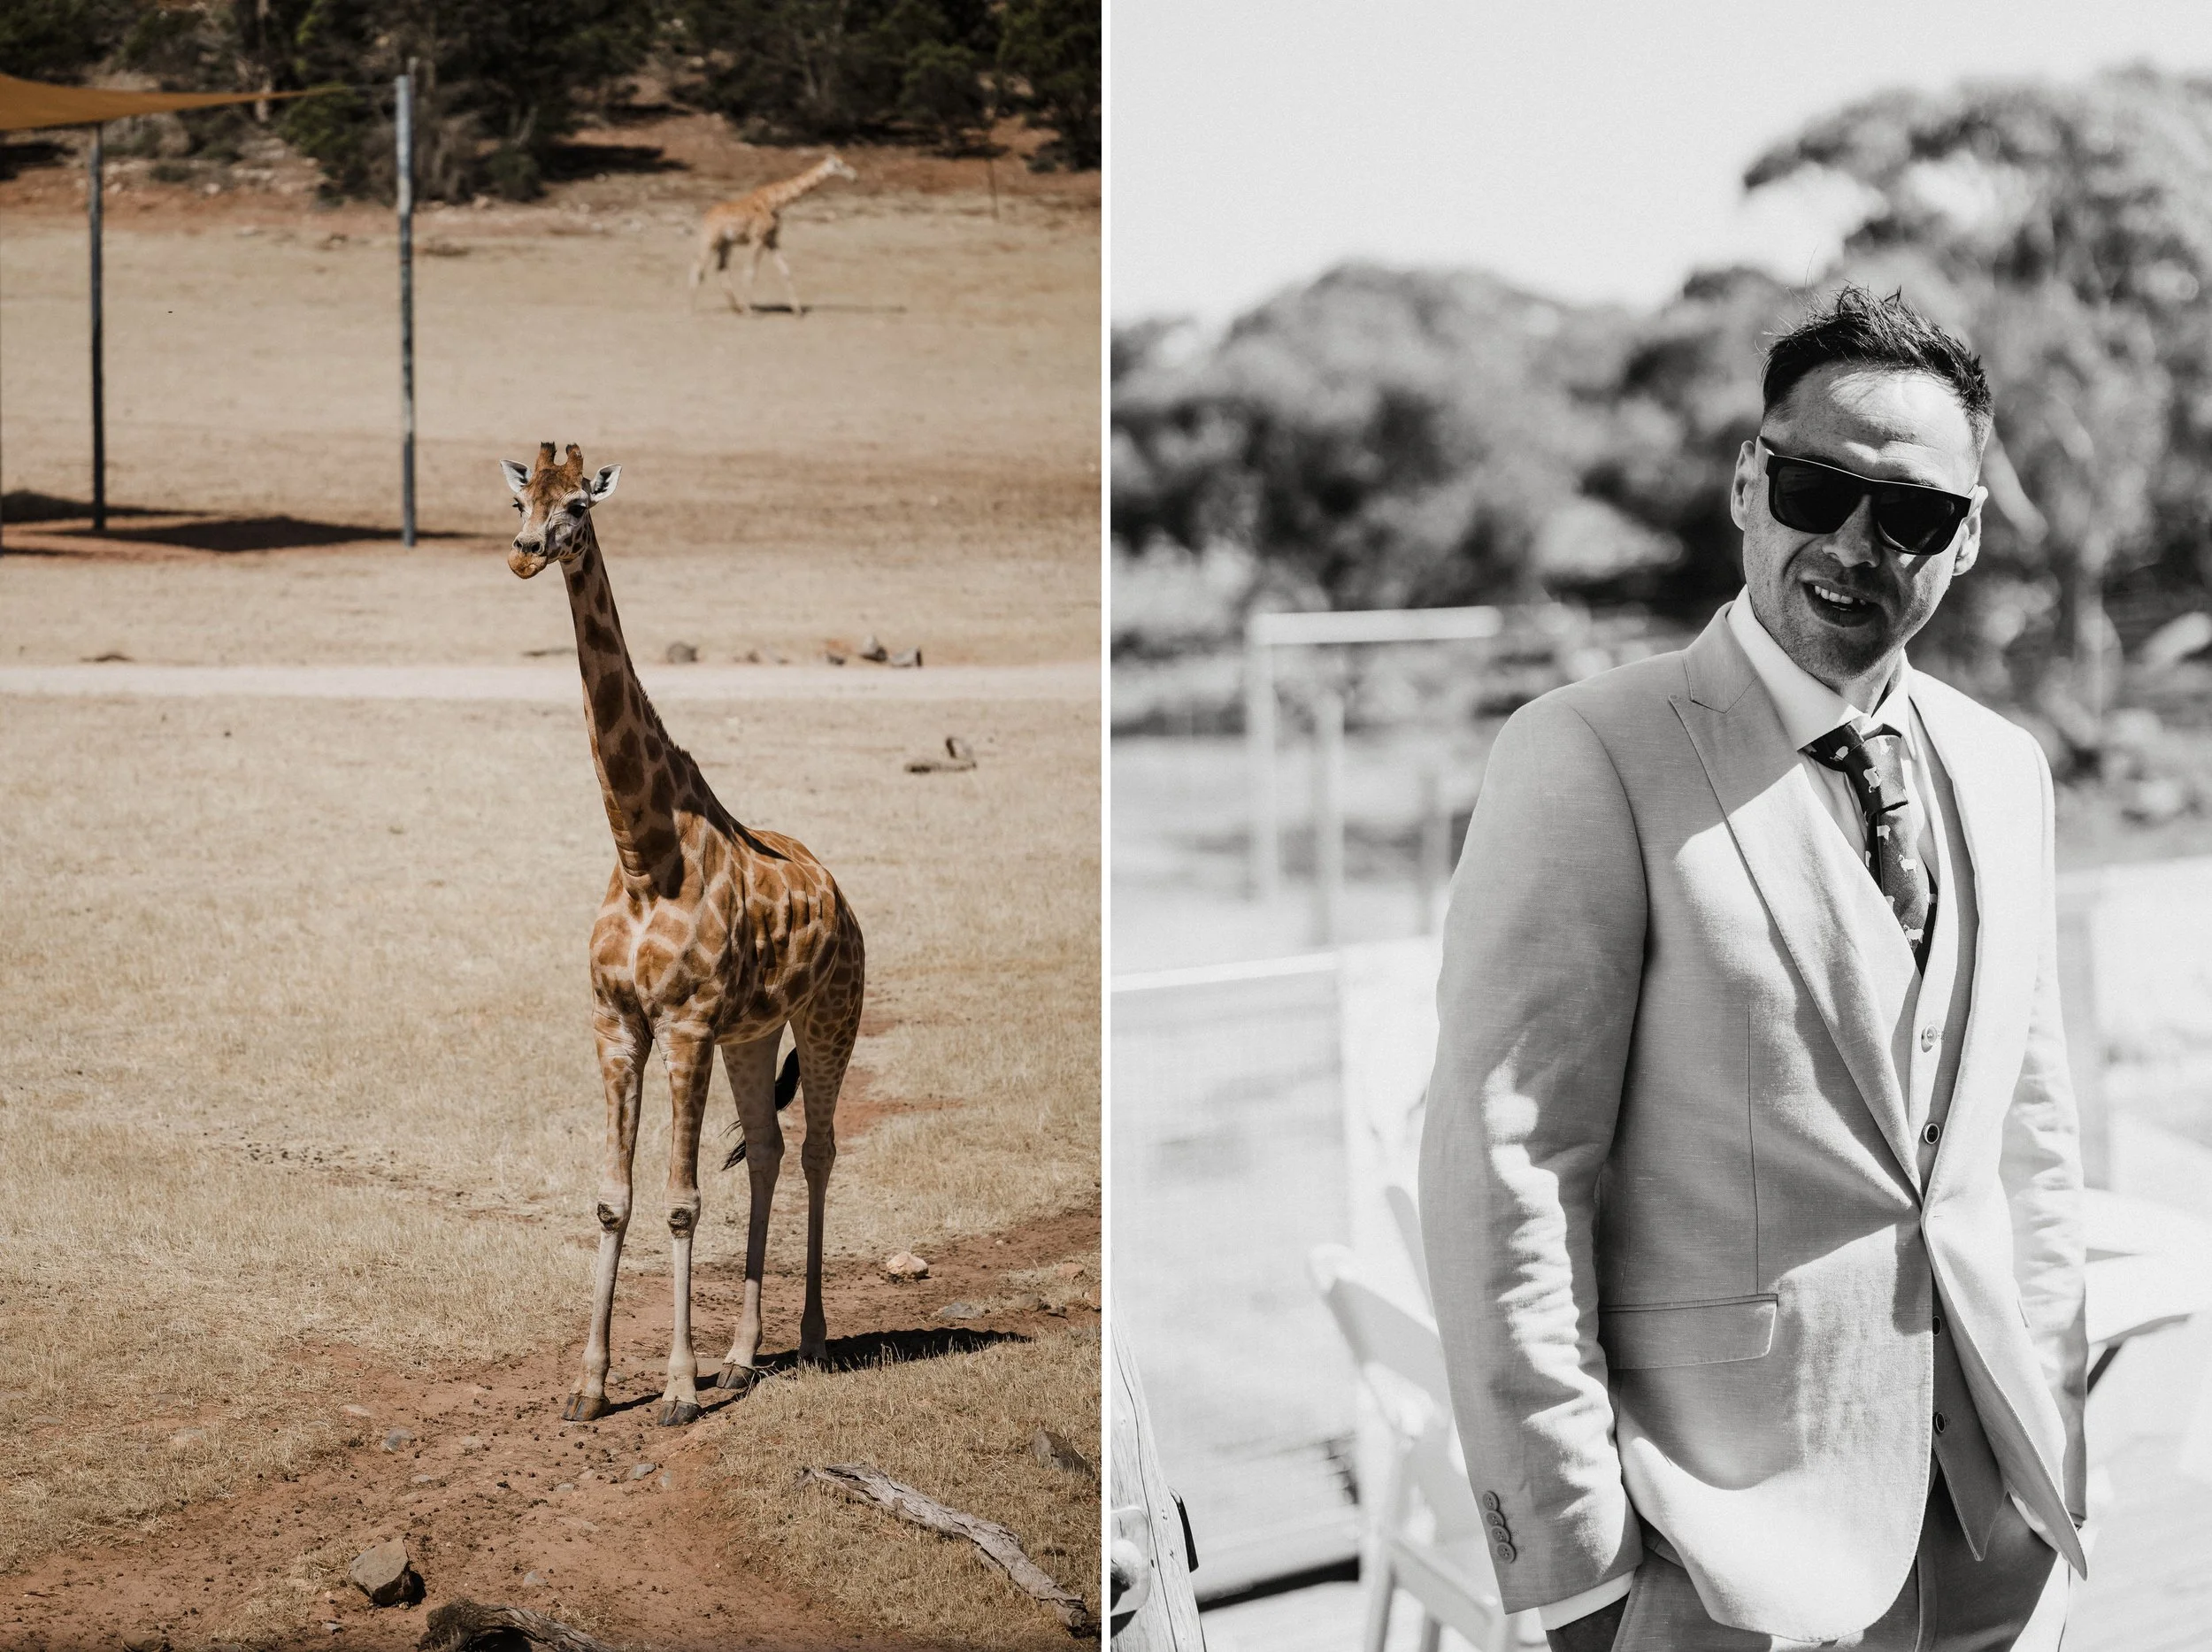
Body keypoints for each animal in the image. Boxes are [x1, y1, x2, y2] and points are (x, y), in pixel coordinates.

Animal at [503, 443, 866, 1426]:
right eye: (521, 499)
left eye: (579, 507)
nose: (524, 552)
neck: (641, 854)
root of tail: (842, 895)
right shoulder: (618, 1022)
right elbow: (611, 1200)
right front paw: (590, 1386)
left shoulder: (688, 1022)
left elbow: (678, 1201)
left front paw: (673, 1389)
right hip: (754, 1032)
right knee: (770, 1149)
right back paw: (740, 1360)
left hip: (828, 1016)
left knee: (816, 1147)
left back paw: (810, 1342)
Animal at [687, 153, 858, 316]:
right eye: (840, 165)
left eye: (845, 161)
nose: (855, 177)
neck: (776, 201)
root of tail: (706, 217)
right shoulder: (757, 238)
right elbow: (750, 272)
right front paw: (750, 311)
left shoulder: (772, 239)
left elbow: (786, 271)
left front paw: (798, 311)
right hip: (710, 239)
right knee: (698, 267)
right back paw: (690, 310)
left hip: (726, 243)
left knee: (721, 269)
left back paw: (737, 308)